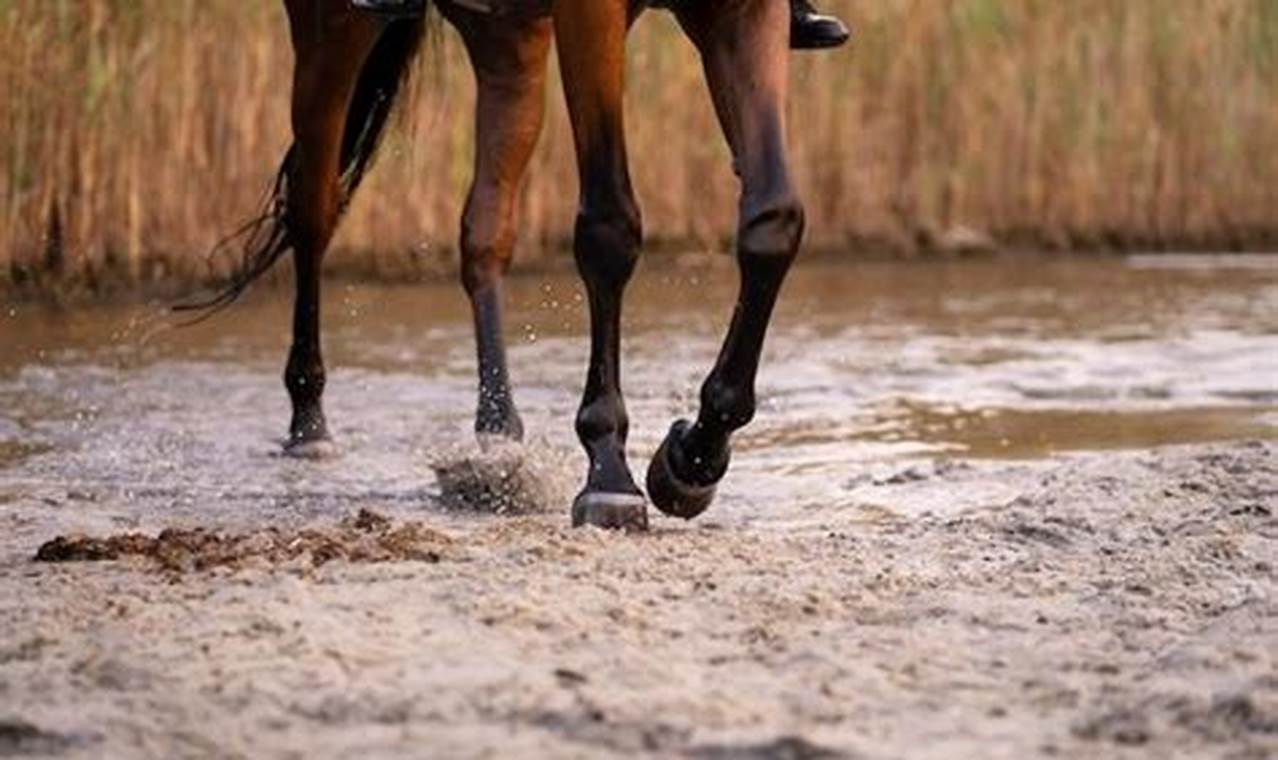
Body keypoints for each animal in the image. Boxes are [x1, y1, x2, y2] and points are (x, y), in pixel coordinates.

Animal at [191, 0, 805, 531]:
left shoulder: (744, 9)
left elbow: (773, 222)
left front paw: (692, 459)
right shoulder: (591, 13)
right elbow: (610, 228)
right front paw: (610, 473)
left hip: (509, 43)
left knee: (484, 234)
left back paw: (498, 438)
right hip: (331, 32)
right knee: (313, 212)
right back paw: (309, 420)